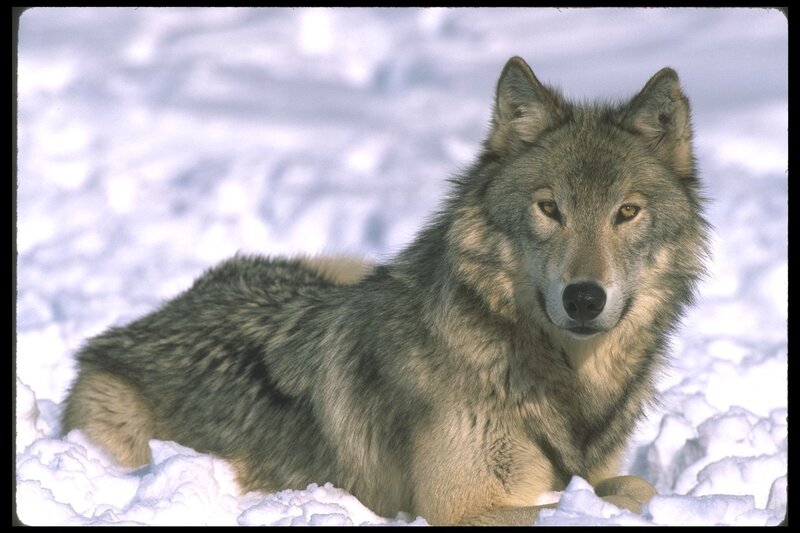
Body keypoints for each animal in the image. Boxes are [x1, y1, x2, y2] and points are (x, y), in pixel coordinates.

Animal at [62, 57, 709, 525]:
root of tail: (143, 322)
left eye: (627, 212)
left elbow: (626, 481)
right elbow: (626, 492)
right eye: (550, 209)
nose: (584, 298)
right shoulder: (461, 508)